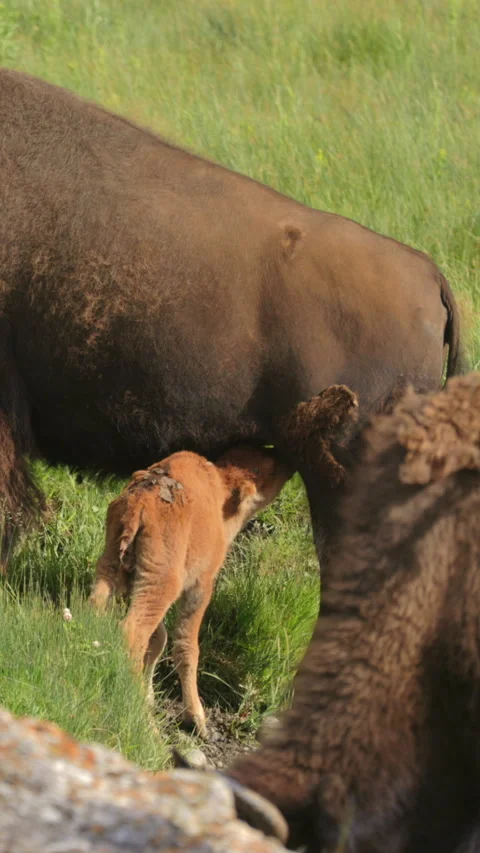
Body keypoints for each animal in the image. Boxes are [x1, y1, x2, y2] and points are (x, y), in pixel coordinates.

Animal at [90, 445, 291, 737]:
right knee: (132, 633)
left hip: (110, 565)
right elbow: (186, 645)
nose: (289, 464)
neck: (220, 494)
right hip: (162, 582)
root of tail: (139, 502)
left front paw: (149, 697)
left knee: (95, 608)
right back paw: (147, 725)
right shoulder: (201, 586)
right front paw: (197, 719)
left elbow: (158, 639)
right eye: (268, 470)